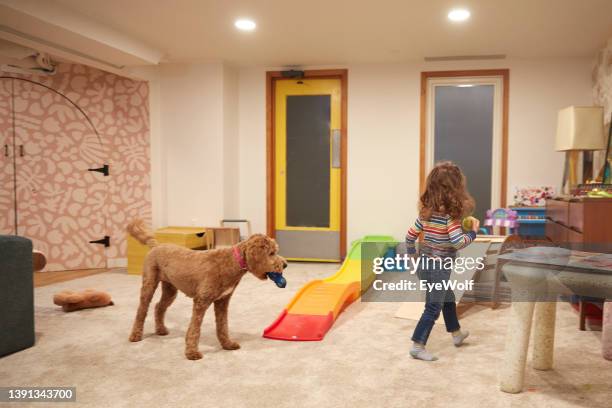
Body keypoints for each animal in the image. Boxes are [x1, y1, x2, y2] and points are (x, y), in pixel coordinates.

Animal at [126, 220, 286, 360]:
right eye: (272, 253)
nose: (285, 264)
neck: (231, 262)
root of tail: (156, 245)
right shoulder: (201, 301)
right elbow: (195, 329)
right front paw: (192, 352)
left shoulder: (222, 301)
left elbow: (222, 326)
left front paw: (227, 344)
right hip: (149, 285)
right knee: (142, 310)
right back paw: (135, 335)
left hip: (170, 289)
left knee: (159, 307)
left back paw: (160, 329)